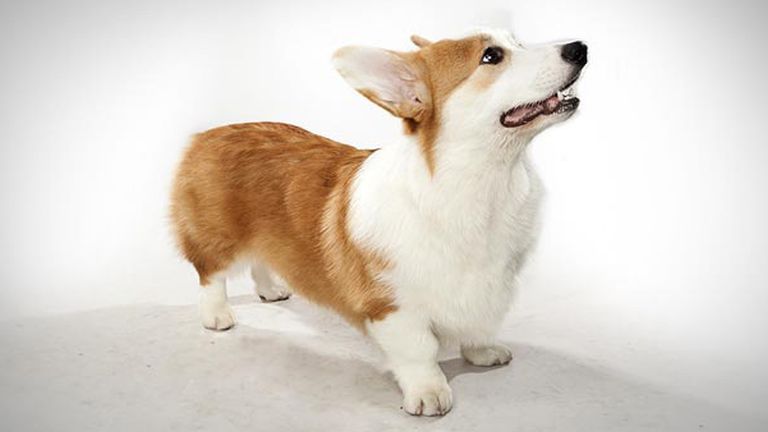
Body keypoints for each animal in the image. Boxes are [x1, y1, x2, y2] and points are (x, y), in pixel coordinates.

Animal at [170, 28, 587, 416]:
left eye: (517, 42)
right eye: (491, 56)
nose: (579, 48)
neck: (487, 181)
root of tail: (206, 134)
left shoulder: (490, 284)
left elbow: (479, 323)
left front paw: (482, 352)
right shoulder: (393, 305)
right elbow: (419, 351)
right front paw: (428, 392)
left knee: (262, 260)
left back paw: (272, 290)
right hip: (219, 238)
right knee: (210, 274)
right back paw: (217, 315)